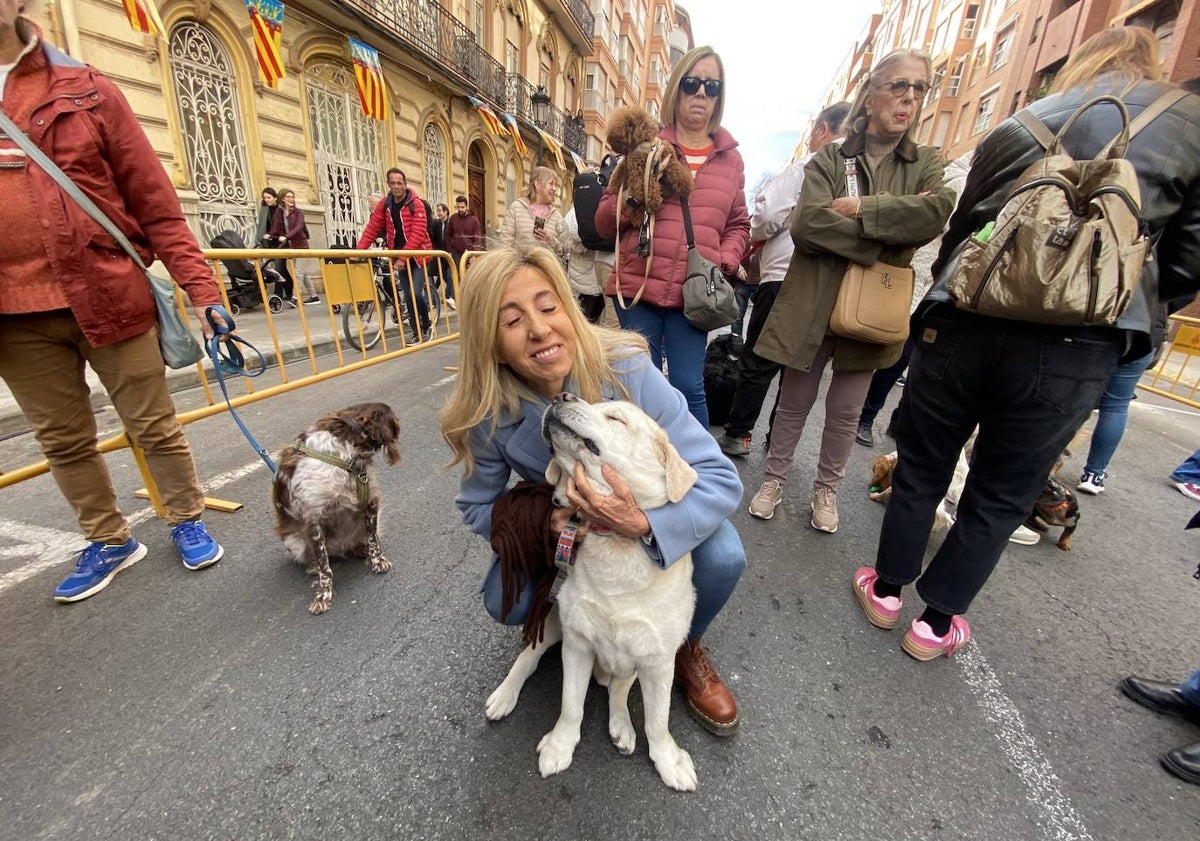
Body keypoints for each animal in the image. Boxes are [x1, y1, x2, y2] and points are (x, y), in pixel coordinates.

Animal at [272, 400, 403, 609]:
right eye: (395, 419)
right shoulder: (313, 521)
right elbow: (324, 566)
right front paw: (322, 595)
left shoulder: (371, 502)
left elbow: (373, 539)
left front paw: (378, 560)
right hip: (294, 541)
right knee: (315, 558)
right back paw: (313, 567)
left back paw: (360, 549)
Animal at [482, 395, 700, 791]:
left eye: (616, 417)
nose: (561, 397)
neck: (615, 545)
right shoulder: (577, 642)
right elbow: (571, 705)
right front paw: (560, 745)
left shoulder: (659, 661)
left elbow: (657, 721)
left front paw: (668, 760)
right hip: (552, 623)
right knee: (528, 657)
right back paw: (505, 695)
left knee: (618, 688)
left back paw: (622, 727)